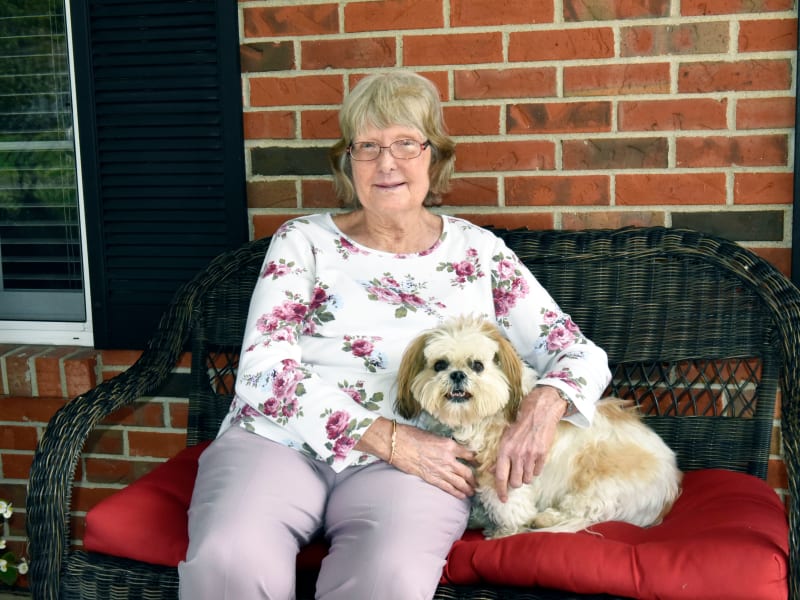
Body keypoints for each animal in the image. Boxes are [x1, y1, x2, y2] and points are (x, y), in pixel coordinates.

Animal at [394, 318, 680, 540]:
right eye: (439, 365)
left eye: (477, 365)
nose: (457, 375)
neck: (474, 418)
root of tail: (669, 489)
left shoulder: (505, 467)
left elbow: (507, 504)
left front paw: (505, 530)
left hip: (599, 480)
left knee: (590, 510)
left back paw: (544, 520)